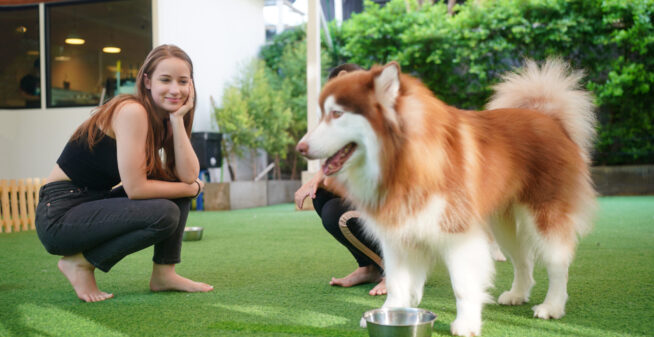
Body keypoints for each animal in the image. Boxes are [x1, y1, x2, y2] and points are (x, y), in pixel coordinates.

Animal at [298, 59, 600, 334]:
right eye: (321, 114)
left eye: (337, 114)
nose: (300, 147)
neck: (402, 161)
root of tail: (549, 118)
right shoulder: (396, 235)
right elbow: (396, 282)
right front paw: (391, 313)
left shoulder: (458, 234)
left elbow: (463, 286)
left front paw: (466, 324)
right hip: (503, 226)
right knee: (523, 260)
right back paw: (517, 295)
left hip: (545, 217)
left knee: (558, 265)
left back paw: (552, 306)